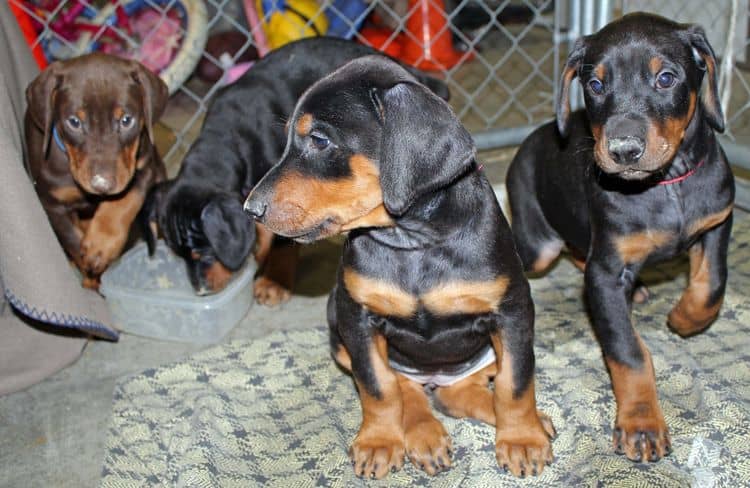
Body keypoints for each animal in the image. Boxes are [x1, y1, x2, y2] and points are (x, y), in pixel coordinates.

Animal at [26, 53, 169, 290]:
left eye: (126, 120)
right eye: (74, 122)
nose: (102, 184)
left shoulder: (145, 166)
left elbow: (124, 200)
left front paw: (101, 245)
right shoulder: (50, 202)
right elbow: (71, 240)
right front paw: (93, 272)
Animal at [142, 37, 450, 302]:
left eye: (203, 254)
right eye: (179, 255)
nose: (201, 291)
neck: (229, 135)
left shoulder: (284, 190)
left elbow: (279, 237)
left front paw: (273, 281)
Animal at [244, 55, 556, 478]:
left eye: (320, 140)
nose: (251, 209)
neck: (411, 240)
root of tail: (434, 377)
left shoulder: (513, 311)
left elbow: (516, 381)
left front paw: (523, 438)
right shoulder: (355, 318)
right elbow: (378, 387)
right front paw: (379, 441)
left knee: (459, 393)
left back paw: (531, 420)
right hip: (336, 324)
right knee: (410, 389)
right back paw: (424, 435)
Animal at [508, 11, 736, 462]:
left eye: (665, 78)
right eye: (595, 85)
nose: (623, 150)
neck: (666, 183)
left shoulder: (717, 222)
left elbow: (711, 285)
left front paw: (683, 319)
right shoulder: (606, 273)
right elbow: (628, 351)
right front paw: (641, 424)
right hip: (539, 245)